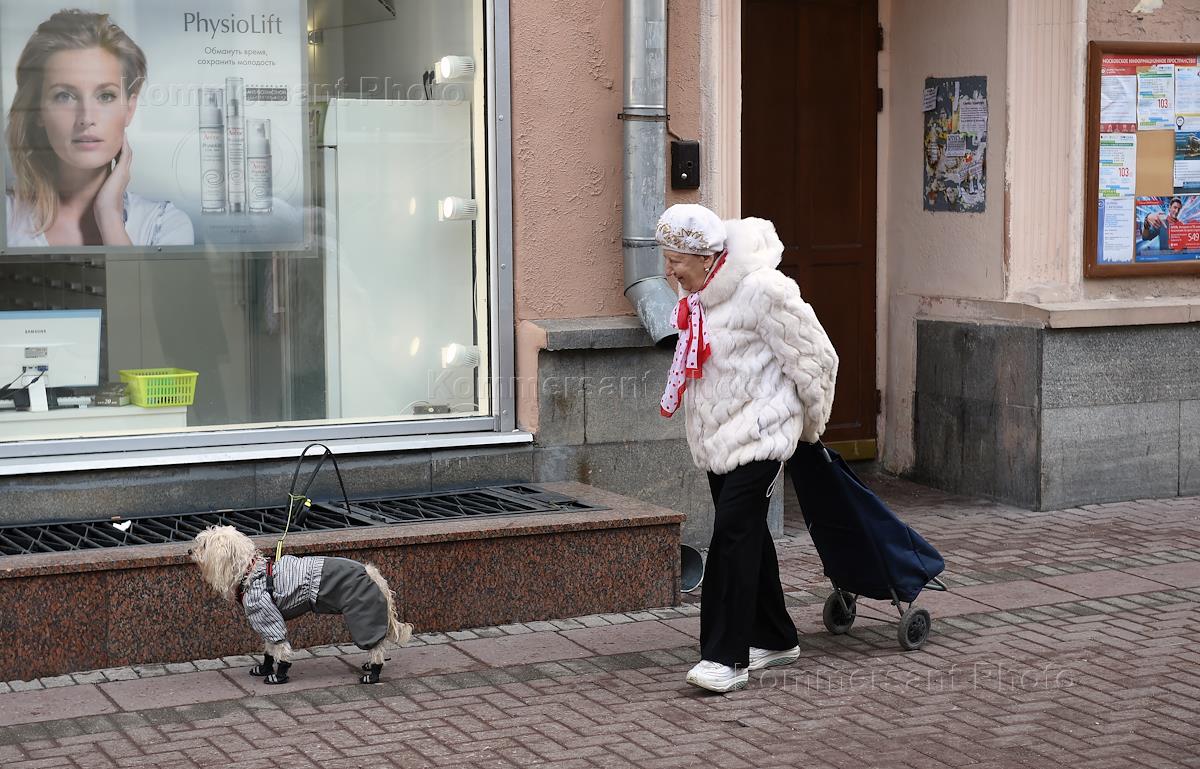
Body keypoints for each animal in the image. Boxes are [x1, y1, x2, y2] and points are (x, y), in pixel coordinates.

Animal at [188, 525, 412, 684]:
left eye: (204, 545)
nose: (189, 550)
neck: (250, 572)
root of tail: (370, 572)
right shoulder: (265, 619)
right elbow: (269, 649)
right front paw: (265, 668)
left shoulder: (268, 616)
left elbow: (280, 647)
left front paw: (278, 674)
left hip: (362, 616)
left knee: (375, 647)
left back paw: (373, 673)